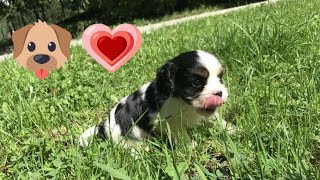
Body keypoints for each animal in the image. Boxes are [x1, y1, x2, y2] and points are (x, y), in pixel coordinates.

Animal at [80, 50, 230, 148]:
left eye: (220, 78)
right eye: (196, 82)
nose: (219, 93)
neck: (184, 103)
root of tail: (102, 127)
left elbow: (215, 118)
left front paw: (229, 129)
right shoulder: (168, 122)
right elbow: (180, 134)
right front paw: (189, 146)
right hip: (123, 138)